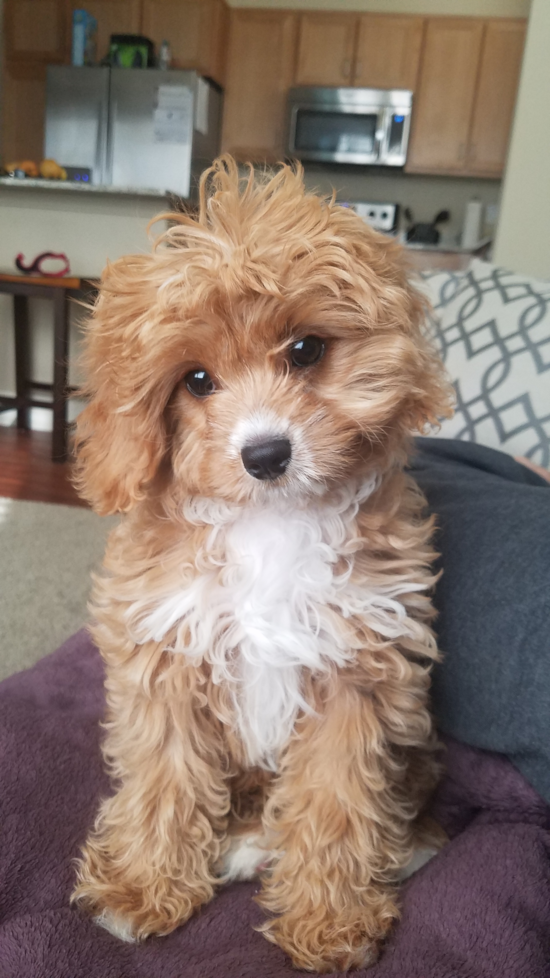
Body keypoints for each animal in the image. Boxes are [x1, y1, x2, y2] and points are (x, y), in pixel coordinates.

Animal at [72, 158, 452, 968]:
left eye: (305, 350)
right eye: (196, 380)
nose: (267, 453)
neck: (268, 523)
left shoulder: (359, 667)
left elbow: (339, 798)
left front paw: (330, 920)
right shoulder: (166, 652)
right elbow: (164, 777)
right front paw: (141, 887)